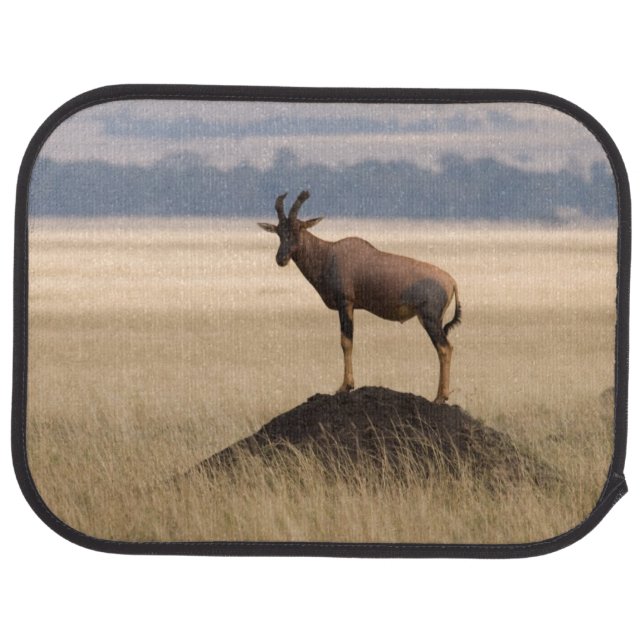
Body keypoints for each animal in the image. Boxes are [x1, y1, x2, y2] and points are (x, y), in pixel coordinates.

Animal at [258, 191, 461, 403]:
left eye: (298, 229)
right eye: (278, 231)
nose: (281, 259)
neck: (329, 252)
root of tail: (451, 281)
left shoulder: (345, 303)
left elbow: (346, 342)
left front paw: (345, 387)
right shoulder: (351, 306)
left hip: (430, 319)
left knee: (445, 348)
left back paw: (440, 397)